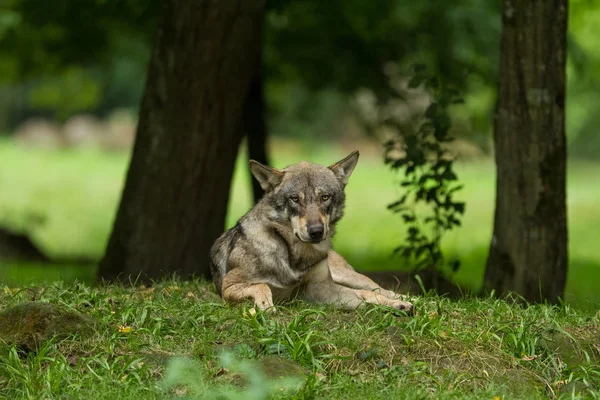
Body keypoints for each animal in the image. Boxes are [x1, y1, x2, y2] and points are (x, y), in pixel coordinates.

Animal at [210, 152, 412, 314]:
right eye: (294, 199)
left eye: (325, 197)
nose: (316, 231)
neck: (295, 255)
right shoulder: (228, 287)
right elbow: (262, 286)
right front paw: (265, 306)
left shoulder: (323, 289)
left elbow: (366, 295)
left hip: (347, 277)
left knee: (375, 289)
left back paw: (405, 302)